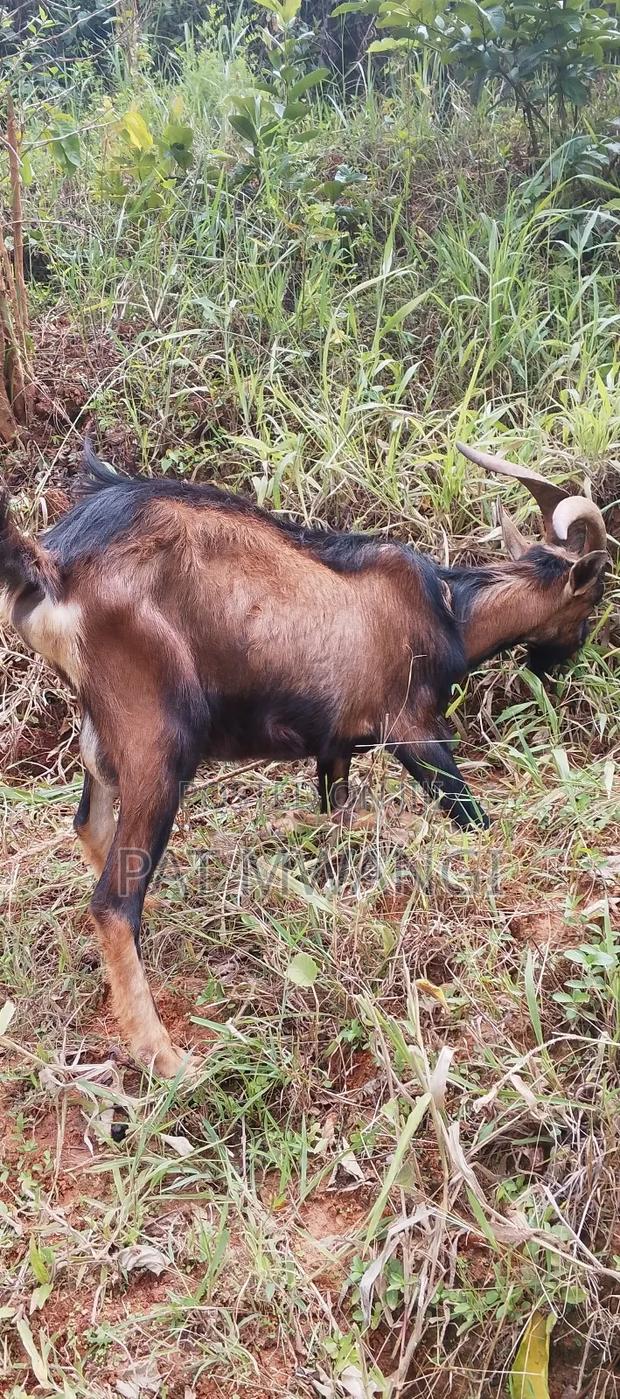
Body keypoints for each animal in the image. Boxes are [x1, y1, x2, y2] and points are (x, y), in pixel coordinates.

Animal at [0, 441, 608, 1075]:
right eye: (592, 600)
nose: (563, 661)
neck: (450, 610)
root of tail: (51, 564)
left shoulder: (335, 745)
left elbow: (337, 817)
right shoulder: (413, 729)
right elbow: (472, 818)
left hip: (100, 730)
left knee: (91, 829)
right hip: (156, 737)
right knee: (113, 904)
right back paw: (164, 1057)